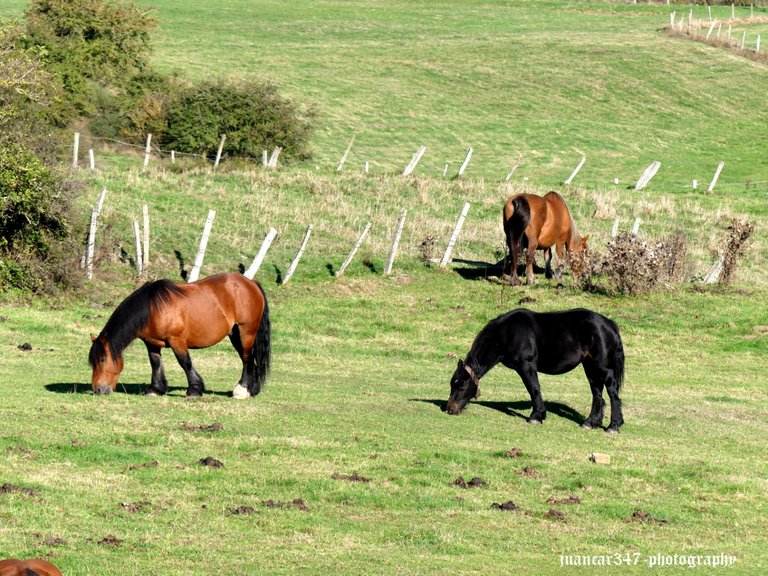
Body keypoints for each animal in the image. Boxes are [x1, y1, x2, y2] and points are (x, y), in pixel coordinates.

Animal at [88, 272, 270, 398]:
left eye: (102, 359)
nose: (98, 389)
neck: (152, 308)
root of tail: (251, 283)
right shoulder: (152, 343)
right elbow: (155, 363)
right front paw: (155, 389)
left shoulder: (176, 340)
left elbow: (185, 362)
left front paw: (194, 390)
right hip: (235, 334)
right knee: (249, 360)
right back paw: (252, 390)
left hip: (246, 332)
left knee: (247, 359)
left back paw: (241, 390)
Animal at [450, 310, 624, 432]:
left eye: (462, 384)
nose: (449, 409)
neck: (507, 332)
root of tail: (610, 324)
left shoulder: (527, 367)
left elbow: (534, 389)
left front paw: (536, 416)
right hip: (590, 367)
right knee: (597, 393)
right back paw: (590, 422)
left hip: (603, 368)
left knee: (612, 393)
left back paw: (613, 426)